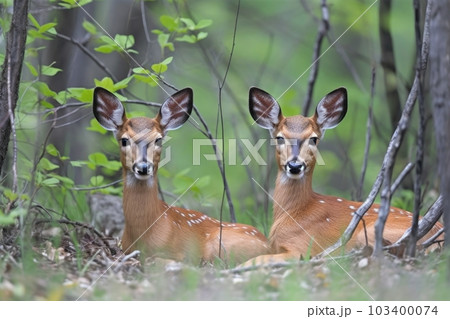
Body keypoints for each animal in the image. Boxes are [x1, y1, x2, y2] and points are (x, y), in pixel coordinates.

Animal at [91, 87, 268, 264]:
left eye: (158, 139)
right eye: (124, 140)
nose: (143, 167)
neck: (145, 232)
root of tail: (268, 242)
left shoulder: (181, 255)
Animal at [243, 85, 442, 264]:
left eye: (313, 139)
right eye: (279, 138)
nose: (294, 165)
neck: (293, 212)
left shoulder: (301, 248)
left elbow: (253, 261)